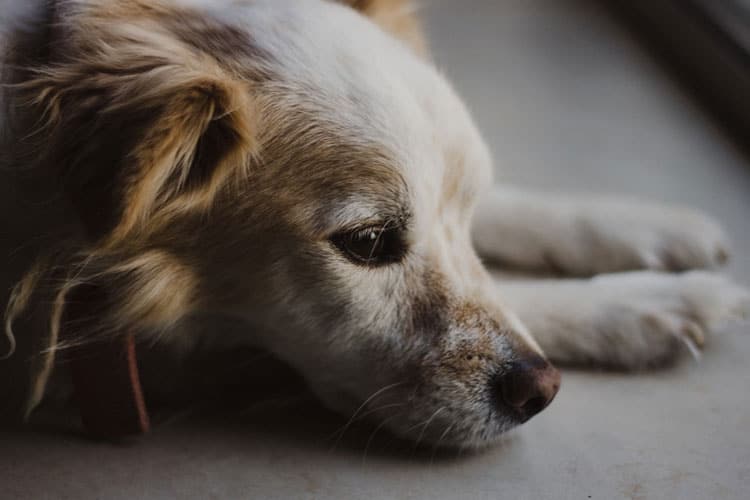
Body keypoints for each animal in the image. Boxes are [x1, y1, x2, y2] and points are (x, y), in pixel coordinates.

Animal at [1, 0, 750, 450]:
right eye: (366, 244)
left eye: (466, 205)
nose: (541, 391)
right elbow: (522, 297)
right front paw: (644, 305)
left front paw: (637, 225)